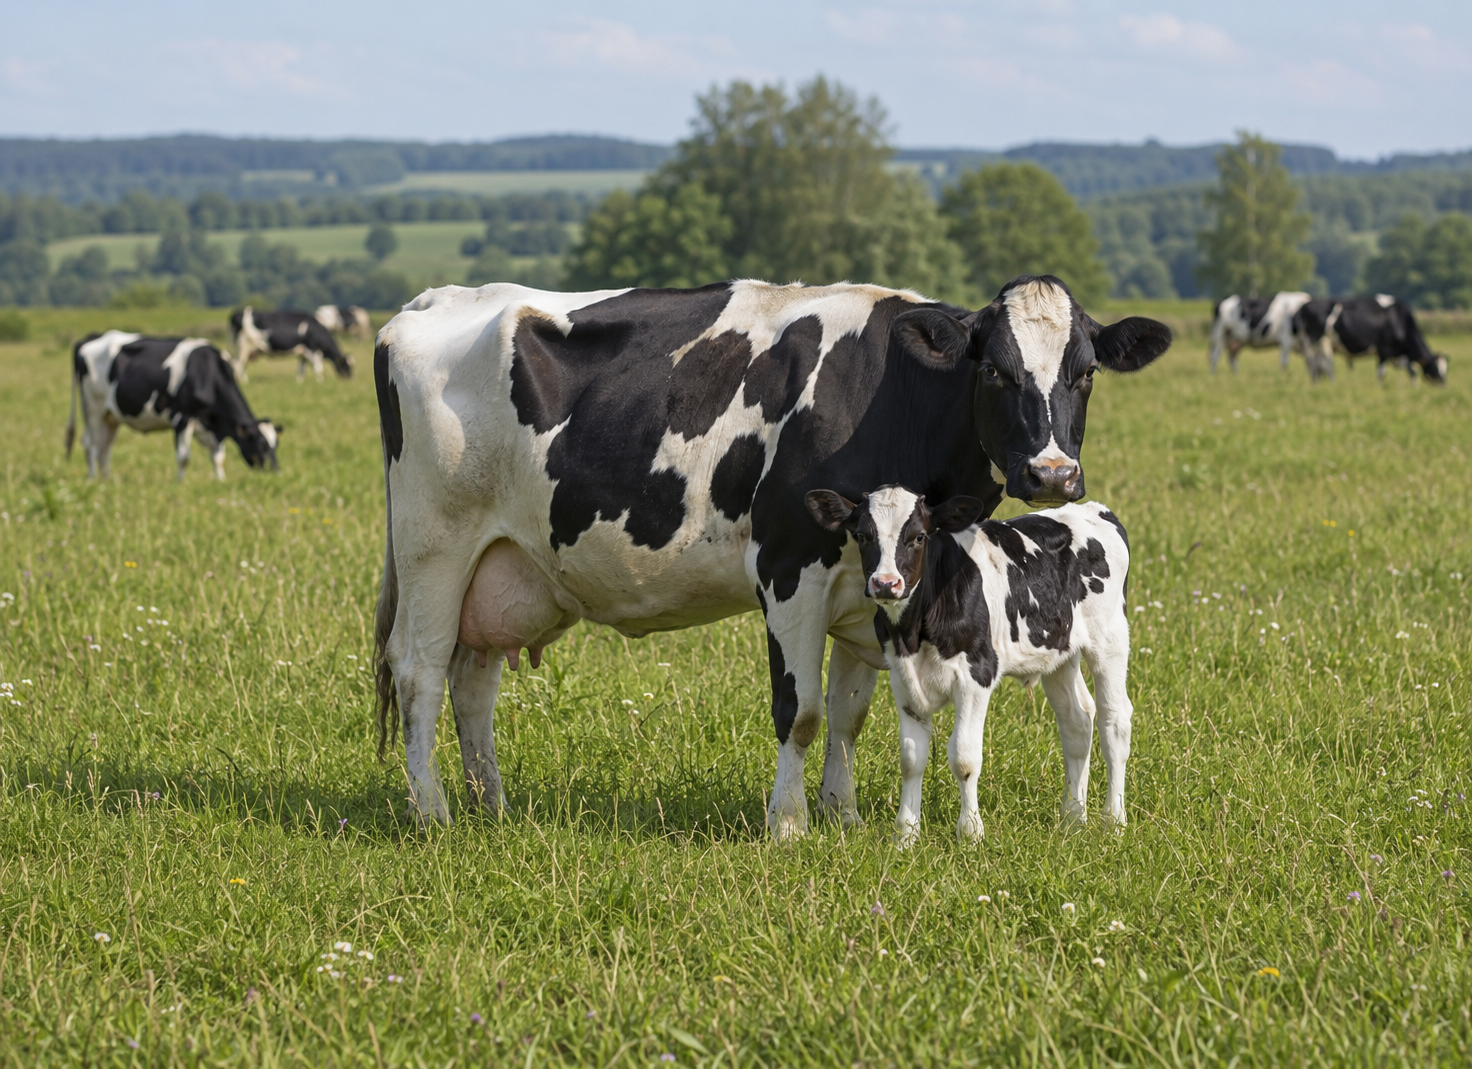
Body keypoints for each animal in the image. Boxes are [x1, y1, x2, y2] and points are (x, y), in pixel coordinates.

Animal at [66, 330, 280, 480]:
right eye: (261, 445)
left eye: (275, 444)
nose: (276, 472)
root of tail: (91, 338)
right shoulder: (181, 418)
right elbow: (184, 458)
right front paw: (180, 484)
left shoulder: (216, 425)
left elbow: (218, 458)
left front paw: (221, 481)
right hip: (93, 408)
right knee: (90, 444)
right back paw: (92, 479)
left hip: (111, 416)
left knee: (104, 448)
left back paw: (107, 480)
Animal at [803, 486, 1132, 846]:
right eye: (863, 535)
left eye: (919, 536)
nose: (886, 583)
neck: (915, 631)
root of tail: (1094, 510)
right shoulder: (903, 680)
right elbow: (911, 758)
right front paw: (905, 834)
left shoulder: (977, 676)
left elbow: (964, 756)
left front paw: (971, 833)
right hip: (1059, 650)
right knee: (1077, 721)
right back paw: (1073, 818)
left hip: (1110, 639)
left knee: (1114, 724)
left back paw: (1114, 820)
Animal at [1293, 294, 1448, 384]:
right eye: (1435, 368)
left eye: (1445, 369)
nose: (1443, 385)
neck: (1400, 322)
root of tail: (1304, 306)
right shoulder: (1384, 349)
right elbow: (1381, 373)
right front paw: (1379, 390)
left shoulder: (1399, 354)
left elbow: (1413, 372)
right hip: (1317, 341)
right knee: (1320, 364)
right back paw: (1326, 384)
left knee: (1318, 365)